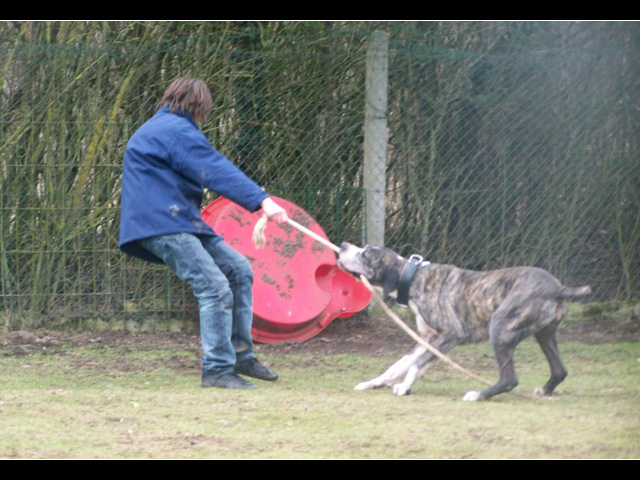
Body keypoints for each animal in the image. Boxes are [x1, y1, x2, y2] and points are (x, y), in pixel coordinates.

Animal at [338, 242, 592, 400]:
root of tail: (558, 289)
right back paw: (544, 391)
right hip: (545, 334)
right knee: (559, 370)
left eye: (365, 254)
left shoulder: (451, 335)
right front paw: (374, 382)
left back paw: (478, 395)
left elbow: (417, 364)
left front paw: (404, 387)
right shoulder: (426, 340)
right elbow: (400, 365)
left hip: (499, 327)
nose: (342, 245)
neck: (412, 277)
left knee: (509, 378)